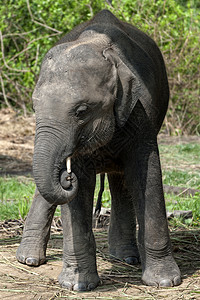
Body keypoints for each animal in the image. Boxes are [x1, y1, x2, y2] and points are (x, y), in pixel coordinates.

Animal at [16, 9, 180, 290]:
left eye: (82, 111)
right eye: (35, 107)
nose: (66, 176)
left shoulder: (141, 114)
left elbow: (146, 175)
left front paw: (166, 282)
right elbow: (78, 191)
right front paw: (77, 285)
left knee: (120, 180)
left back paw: (124, 257)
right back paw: (28, 260)